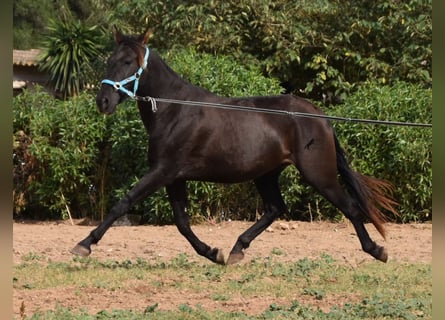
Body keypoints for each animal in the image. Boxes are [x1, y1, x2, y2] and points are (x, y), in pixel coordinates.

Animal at [71, 26, 398, 264]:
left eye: (128, 62)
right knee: (275, 208)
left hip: (319, 174)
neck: (174, 110)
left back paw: (377, 250)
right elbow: (182, 222)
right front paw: (212, 253)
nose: (103, 101)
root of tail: (320, 117)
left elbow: (123, 203)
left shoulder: (162, 172)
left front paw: (84, 244)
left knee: (350, 207)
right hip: (267, 174)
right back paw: (237, 249)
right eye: (109, 61)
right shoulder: (174, 177)